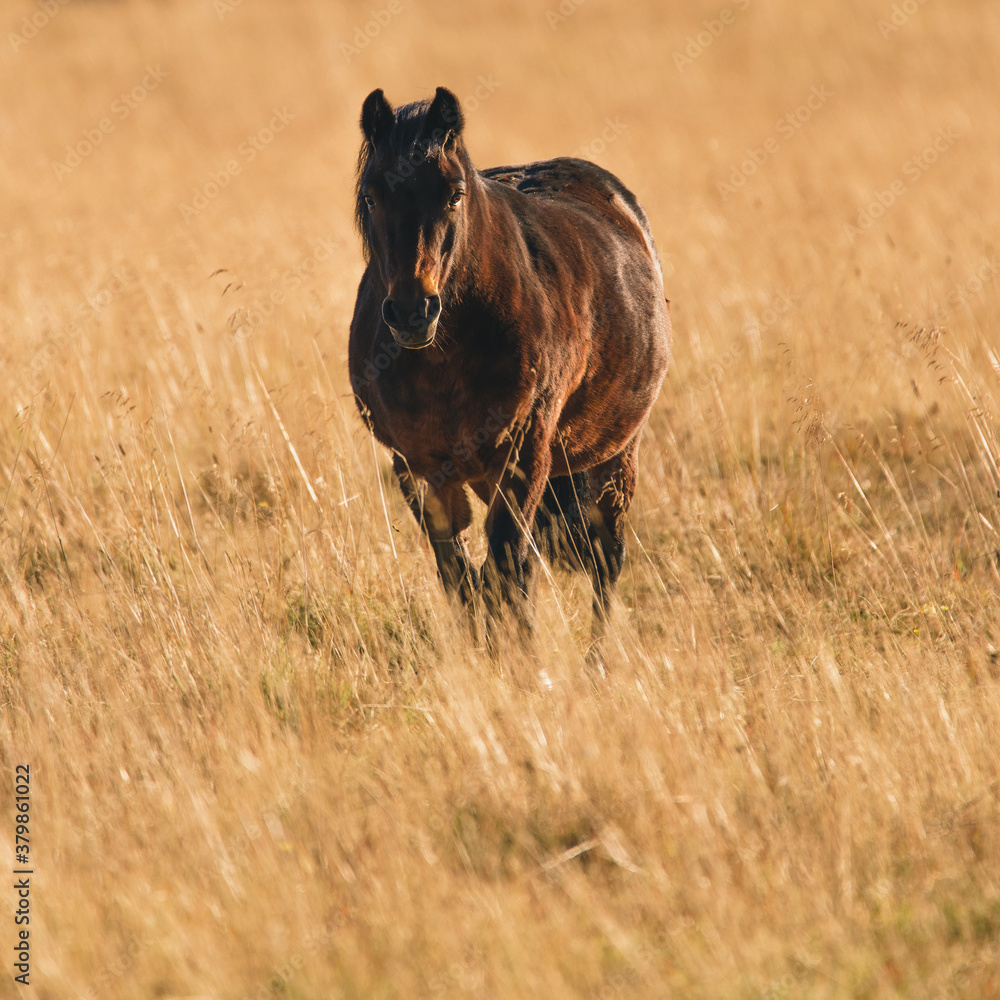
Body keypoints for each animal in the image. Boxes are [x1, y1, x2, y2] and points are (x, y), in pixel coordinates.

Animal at [349, 86, 671, 642]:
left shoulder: (524, 454)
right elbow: (460, 575)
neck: (442, 363)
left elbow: (506, 568)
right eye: (371, 196)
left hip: (614, 457)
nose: (412, 312)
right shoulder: (416, 468)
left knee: (605, 559)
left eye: (454, 193)